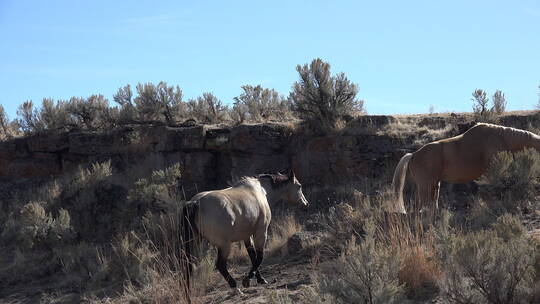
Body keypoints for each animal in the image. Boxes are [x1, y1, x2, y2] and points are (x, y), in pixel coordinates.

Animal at [390, 122, 540, 215]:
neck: (501, 137)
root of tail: (413, 154)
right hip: (425, 185)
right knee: (419, 204)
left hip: (434, 184)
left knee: (432, 201)